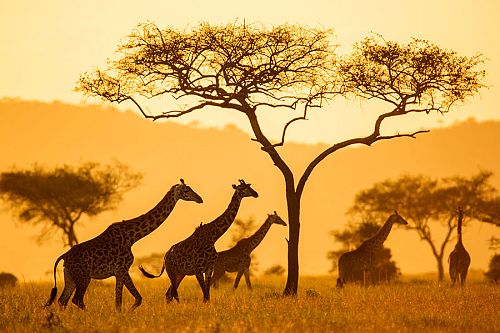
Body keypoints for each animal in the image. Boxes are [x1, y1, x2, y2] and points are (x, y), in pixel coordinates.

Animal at [43, 178, 203, 310]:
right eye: (186, 190)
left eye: (191, 188)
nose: (200, 199)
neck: (132, 237)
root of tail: (64, 256)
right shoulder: (120, 270)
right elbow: (119, 303)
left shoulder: (123, 270)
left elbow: (137, 299)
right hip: (83, 276)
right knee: (76, 300)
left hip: (70, 277)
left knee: (62, 300)